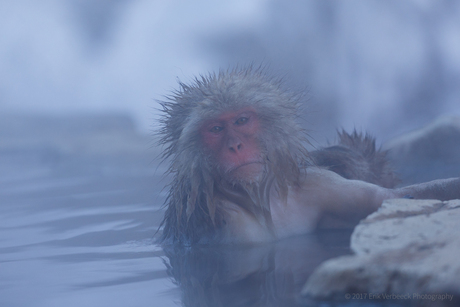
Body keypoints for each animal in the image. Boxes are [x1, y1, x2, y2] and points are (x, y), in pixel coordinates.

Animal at [158, 67, 460, 245]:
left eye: (242, 120)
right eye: (216, 129)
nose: (235, 146)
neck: (261, 198)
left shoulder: (318, 184)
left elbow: (392, 199)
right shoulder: (218, 219)